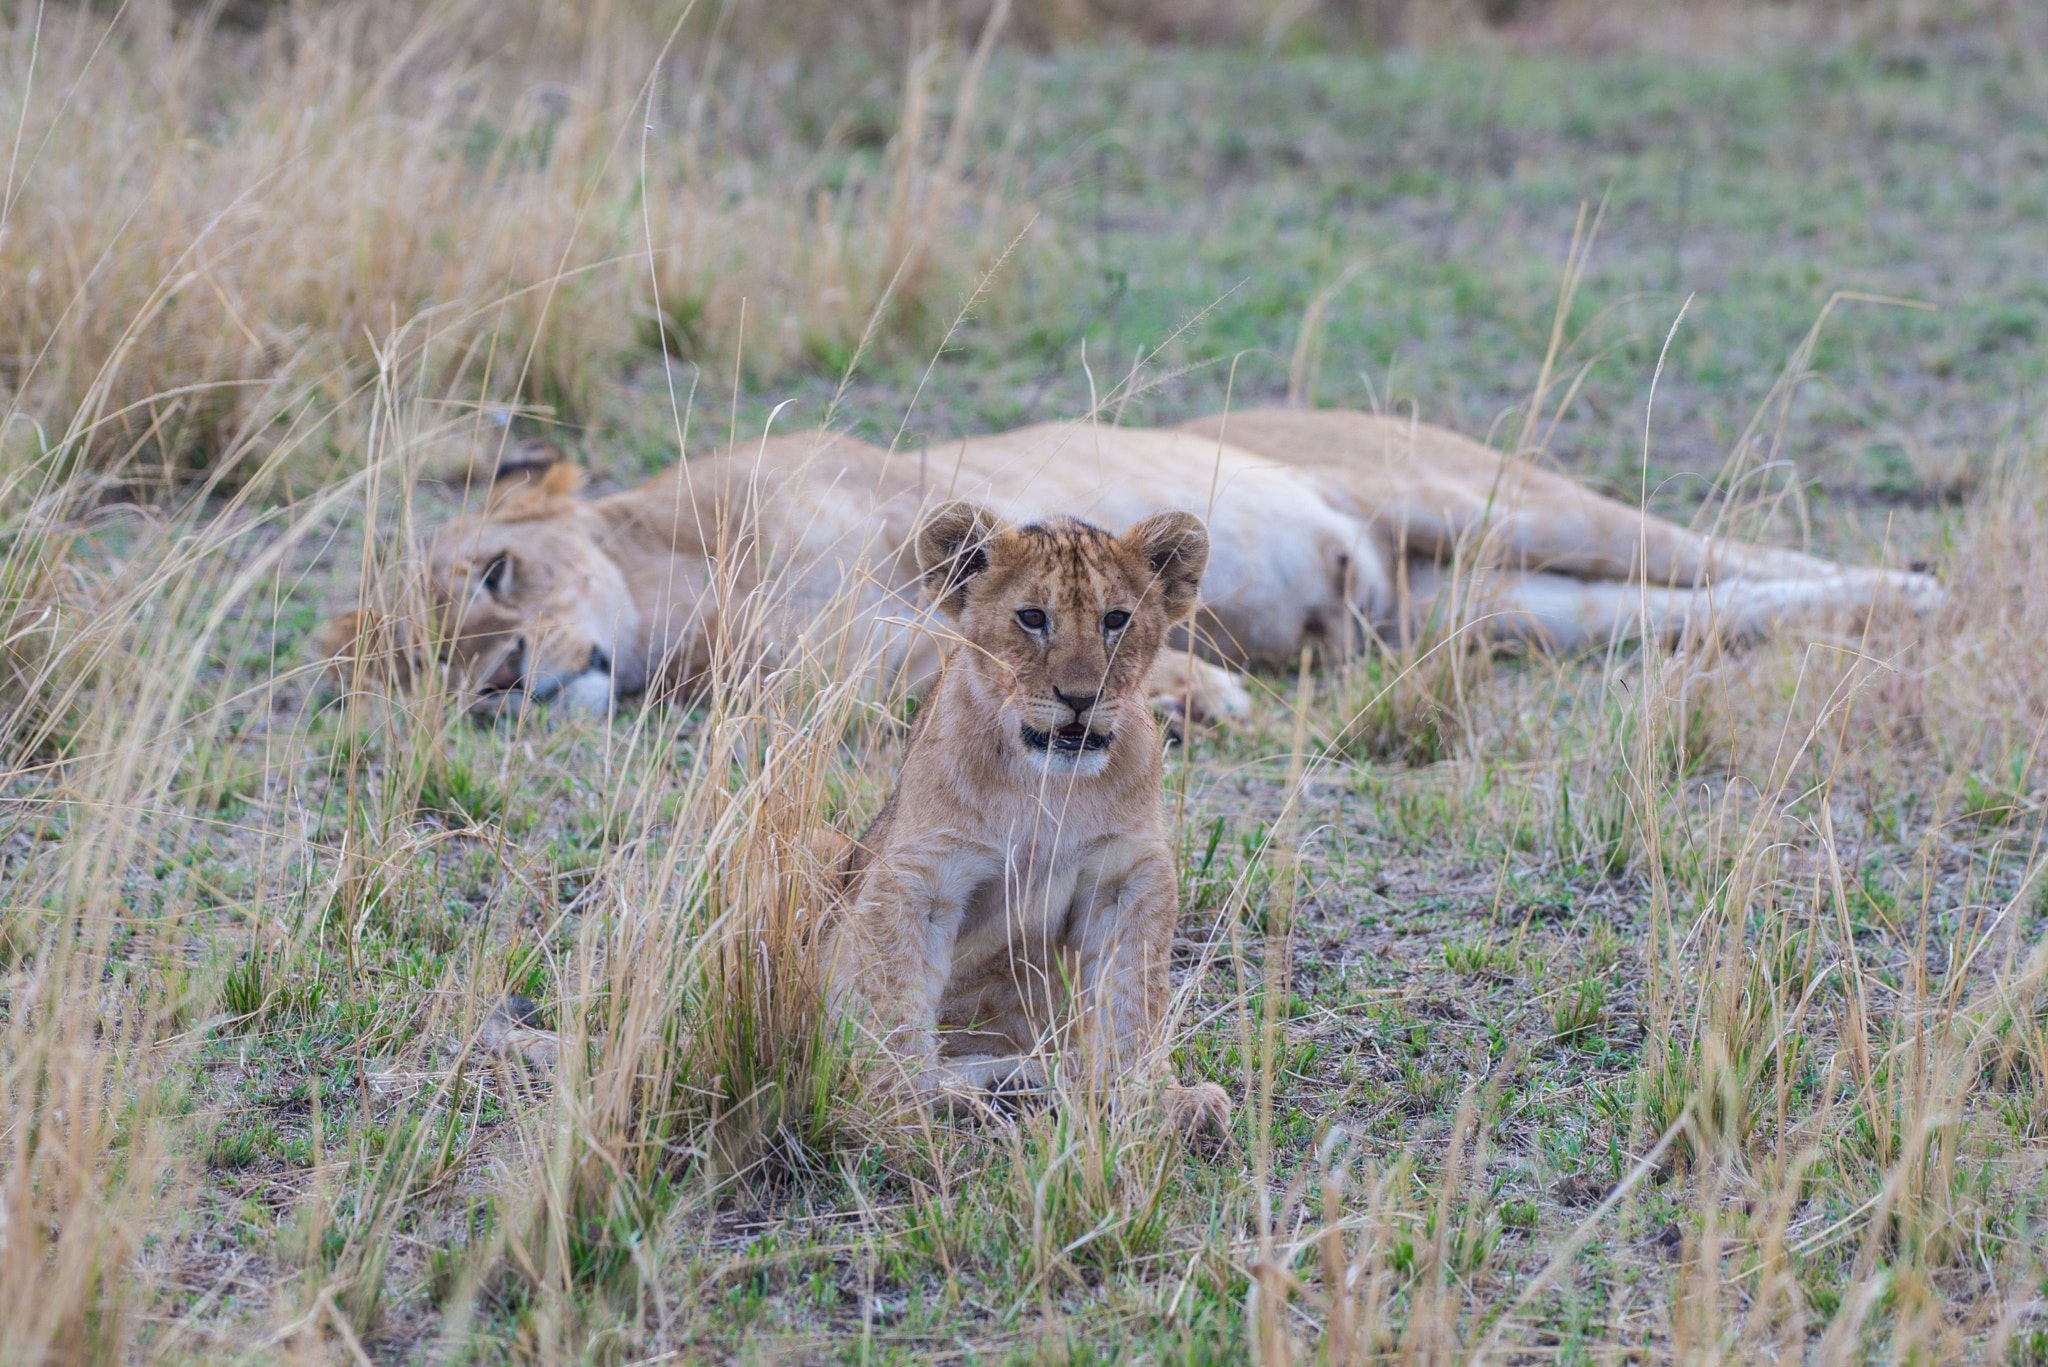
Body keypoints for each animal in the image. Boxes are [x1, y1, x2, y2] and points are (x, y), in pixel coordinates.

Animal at [822, 498, 1231, 1130]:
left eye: (1116, 619)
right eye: (1033, 618)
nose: (1081, 698)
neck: (1047, 788)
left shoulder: (1126, 875)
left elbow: (1132, 997)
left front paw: (1151, 1098)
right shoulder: (920, 876)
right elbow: (892, 992)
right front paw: (893, 1106)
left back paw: (1021, 1086)